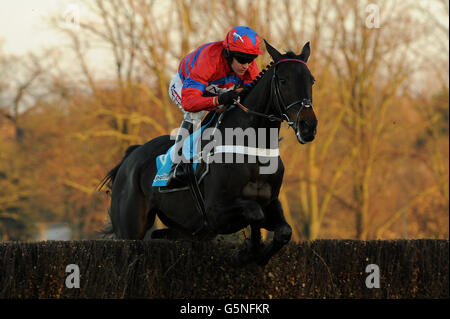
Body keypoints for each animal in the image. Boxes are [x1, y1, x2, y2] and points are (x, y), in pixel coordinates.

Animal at [99, 40, 316, 268]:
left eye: (311, 80)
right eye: (283, 81)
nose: (308, 126)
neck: (253, 150)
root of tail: (131, 156)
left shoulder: (270, 202)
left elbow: (284, 230)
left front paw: (258, 255)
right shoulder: (215, 213)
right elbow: (254, 212)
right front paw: (249, 253)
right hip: (130, 228)